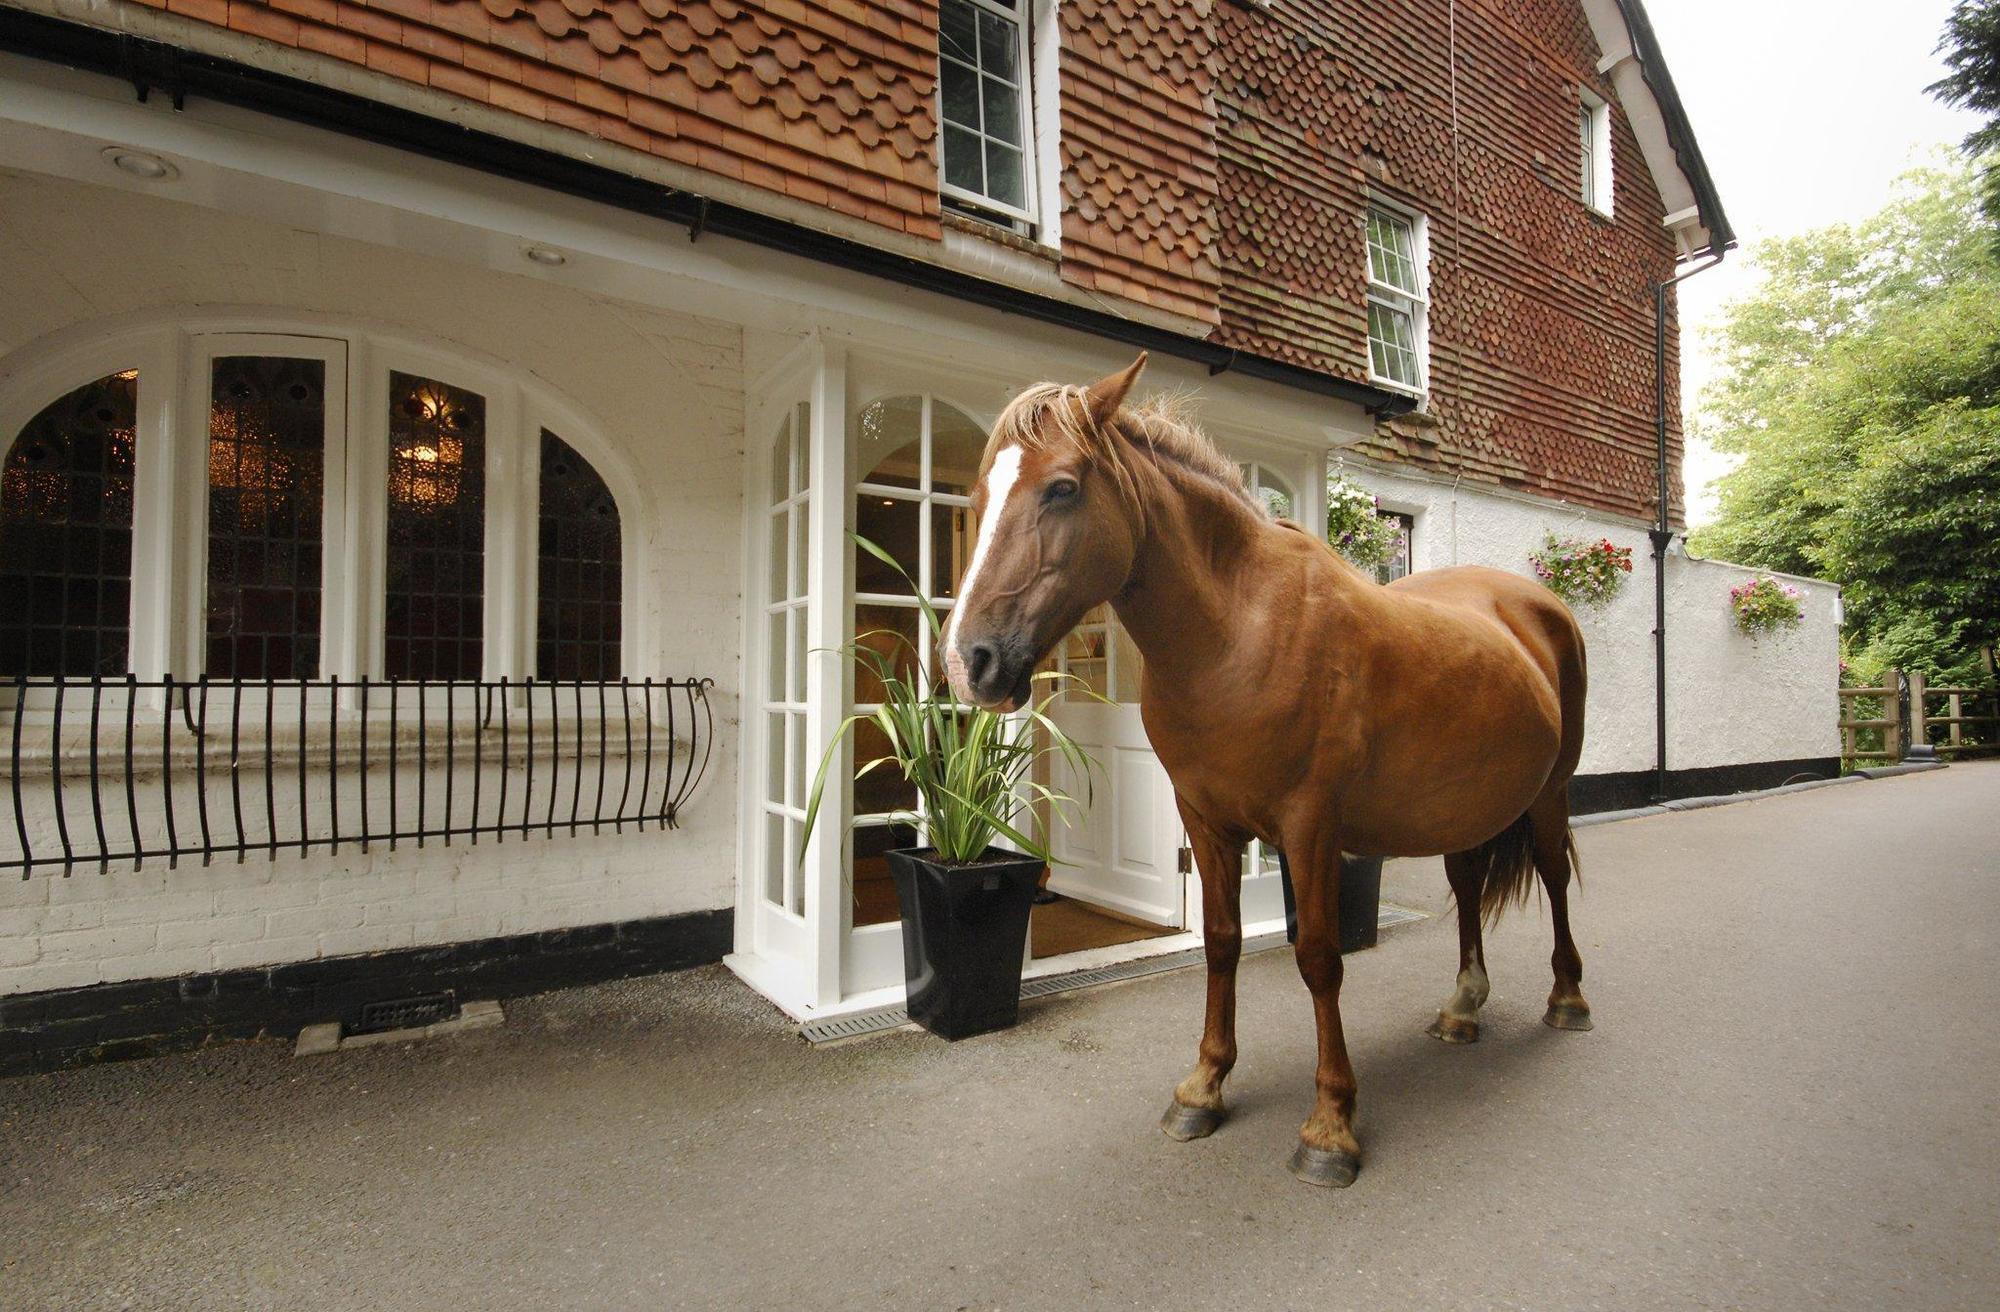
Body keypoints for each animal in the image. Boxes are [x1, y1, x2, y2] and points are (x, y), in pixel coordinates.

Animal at [940, 356, 1592, 1192]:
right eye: (981, 496)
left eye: (1061, 488)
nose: (969, 661)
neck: (1239, 632)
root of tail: (1542, 606)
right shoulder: (1205, 819)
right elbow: (1221, 944)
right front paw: (1203, 1088)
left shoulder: (1308, 827)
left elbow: (1317, 958)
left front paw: (1331, 1126)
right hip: (1461, 808)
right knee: (1469, 885)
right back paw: (1462, 1008)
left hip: (1549, 794)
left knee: (1553, 877)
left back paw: (1567, 998)